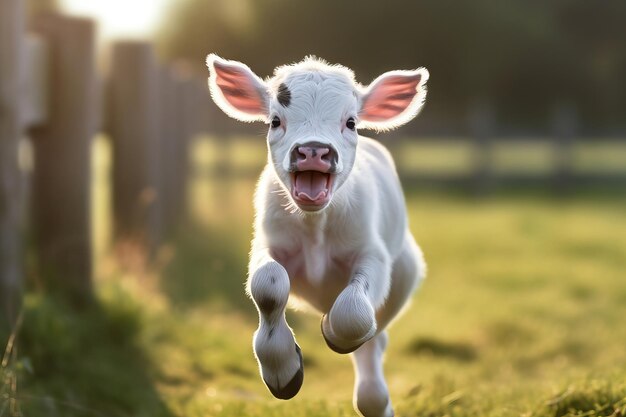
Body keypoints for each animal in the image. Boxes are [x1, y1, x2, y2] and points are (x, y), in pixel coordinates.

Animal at [207, 55, 426, 416]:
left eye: (351, 122)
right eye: (275, 121)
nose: (313, 150)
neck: (315, 229)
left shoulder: (374, 253)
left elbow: (353, 313)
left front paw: (332, 331)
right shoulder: (266, 244)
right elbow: (268, 285)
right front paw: (283, 369)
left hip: (405, 273)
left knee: (374, 339)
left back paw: (374, 398)